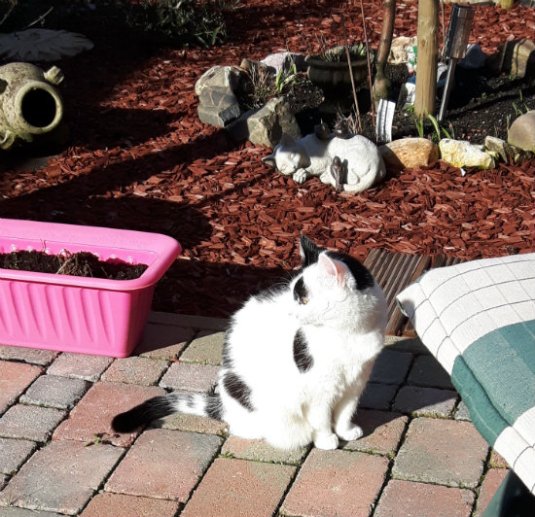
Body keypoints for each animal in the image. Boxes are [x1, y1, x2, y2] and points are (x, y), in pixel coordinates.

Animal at [112, 236, 387, 450]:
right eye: (294, 296)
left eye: (304, 299)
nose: (289, 312)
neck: (348, 335)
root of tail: (223, 405)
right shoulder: (319, 390)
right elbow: (321, 419)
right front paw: (327, 440)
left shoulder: (356, 383)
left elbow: (345, 412)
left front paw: (346, 431)